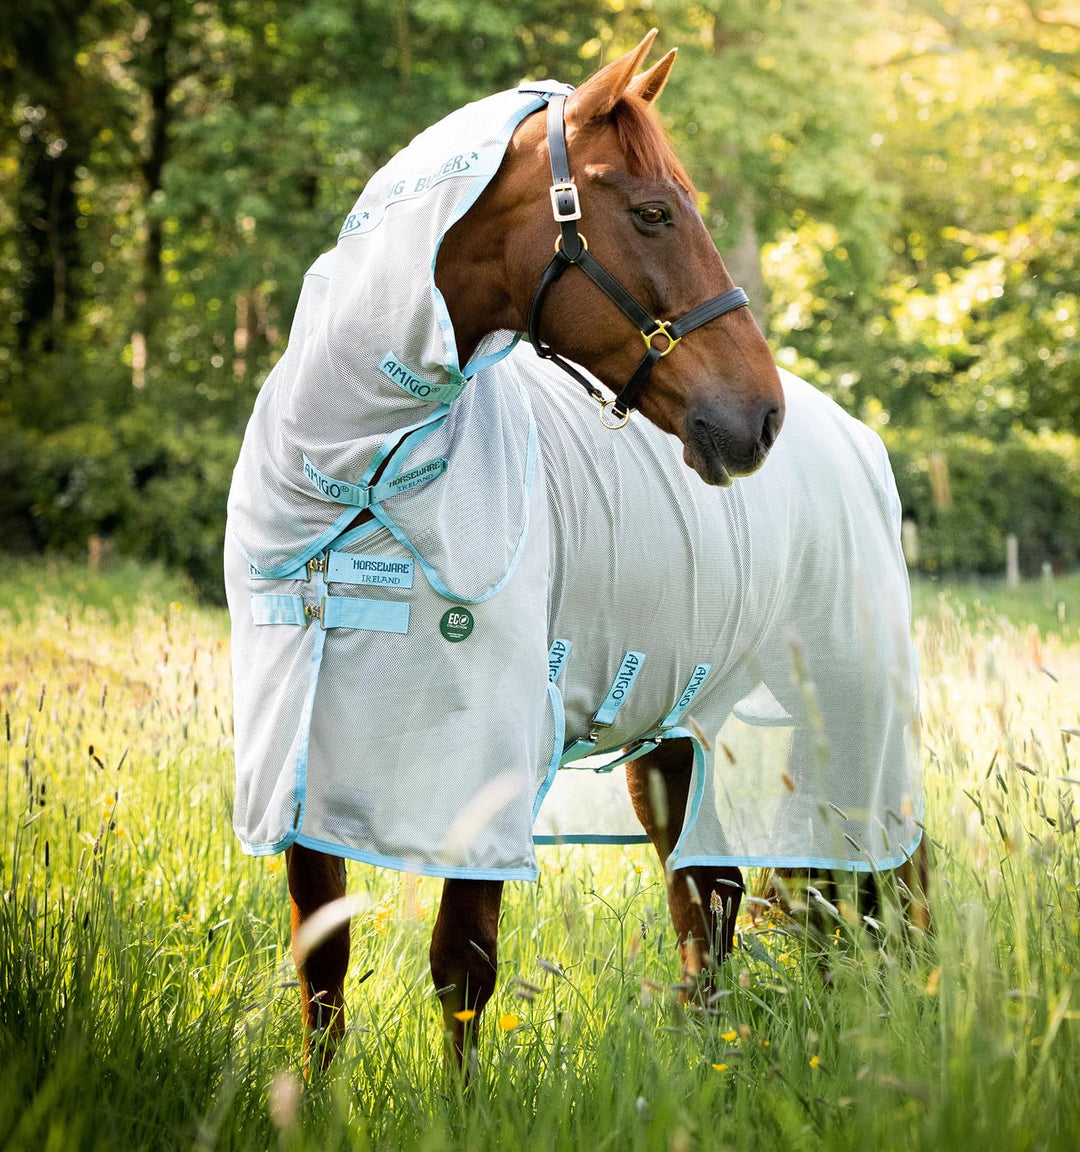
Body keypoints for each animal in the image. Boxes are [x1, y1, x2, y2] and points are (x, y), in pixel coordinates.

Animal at [224, 31, 925, 1075]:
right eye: (653, 211)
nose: (758, 419)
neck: (357, 486)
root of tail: (855, 438)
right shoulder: (301, 767)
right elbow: (323, 964)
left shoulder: (485, 764)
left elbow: (462, 966)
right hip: (679, 741)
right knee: (709, 902)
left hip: (851, 715)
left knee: (881, 883)